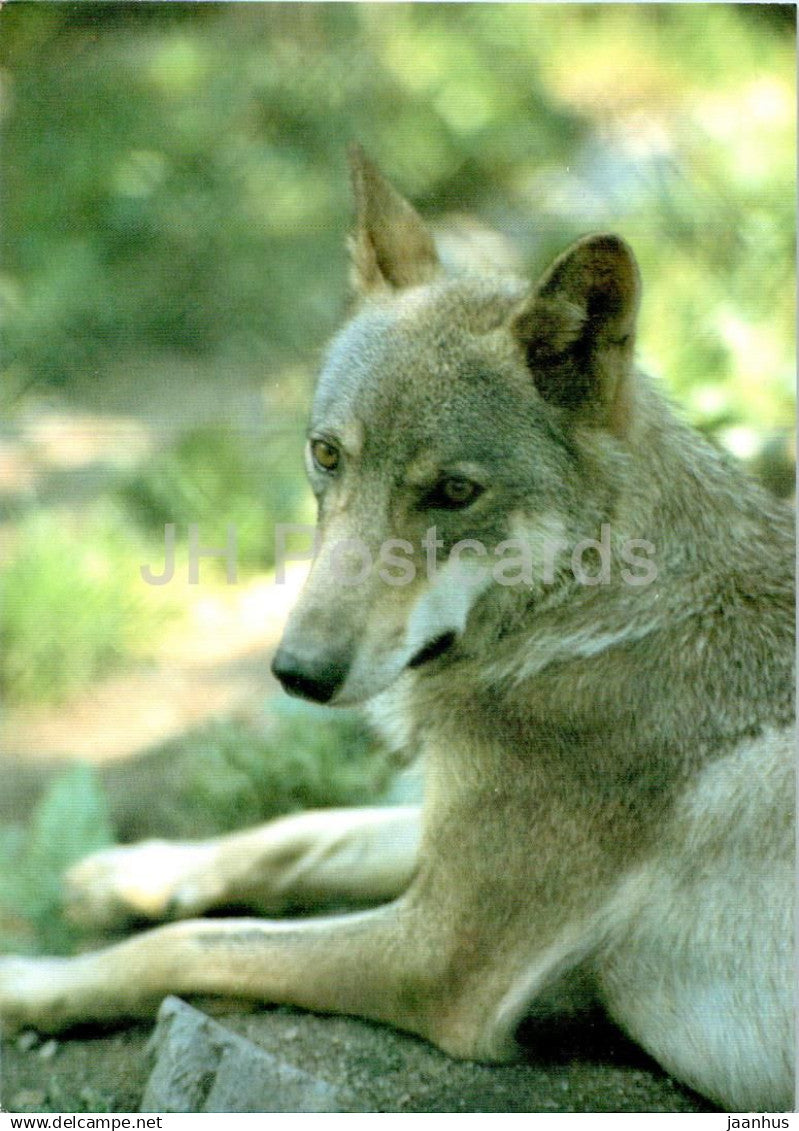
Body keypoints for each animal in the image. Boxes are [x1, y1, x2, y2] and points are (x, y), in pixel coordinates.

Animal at [0, 150, 793, 1113]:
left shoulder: (436, 956)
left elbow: (183, 945)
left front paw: (28, 979)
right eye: (326, 454)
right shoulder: (438, 826)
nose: (297, 672)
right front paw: (130, 872)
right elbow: (298, 832)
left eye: (453, 492)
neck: (589, 615)